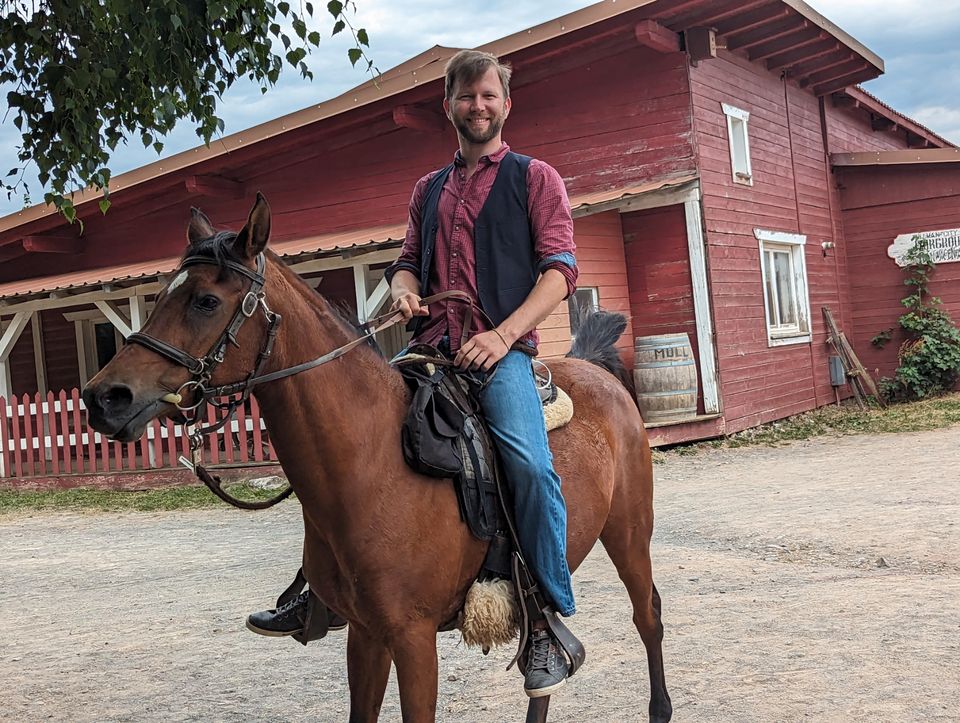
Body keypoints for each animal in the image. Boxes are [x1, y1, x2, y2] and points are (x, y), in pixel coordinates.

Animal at [82, 197, 672, 723]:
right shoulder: (366, 634)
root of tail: (592, 369)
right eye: (160, 295)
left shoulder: (412, 638)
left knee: (648, 616)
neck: (372, 466)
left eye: (205, 300)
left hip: (630, 533)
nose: (103, 397)